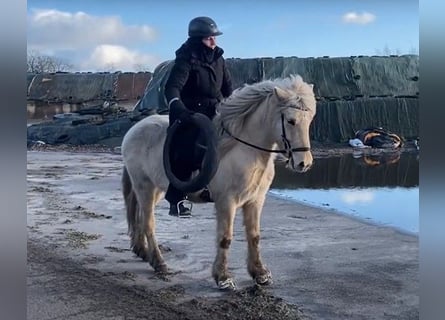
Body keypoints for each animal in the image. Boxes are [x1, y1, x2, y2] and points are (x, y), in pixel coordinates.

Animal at [120, 74, 316, 290]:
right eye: (291, 121)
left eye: (309, 121)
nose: (304, 163)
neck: (244, 151)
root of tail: (134, 130)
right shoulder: (226, 202)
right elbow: (225, 238)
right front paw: (223, 277)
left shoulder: (255, 200)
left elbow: (254, 235)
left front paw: (260, 273)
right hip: (144, 187)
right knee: (148, 223)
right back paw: (159, 262)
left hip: (155, 190)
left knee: (139, 216)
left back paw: (142, 250)